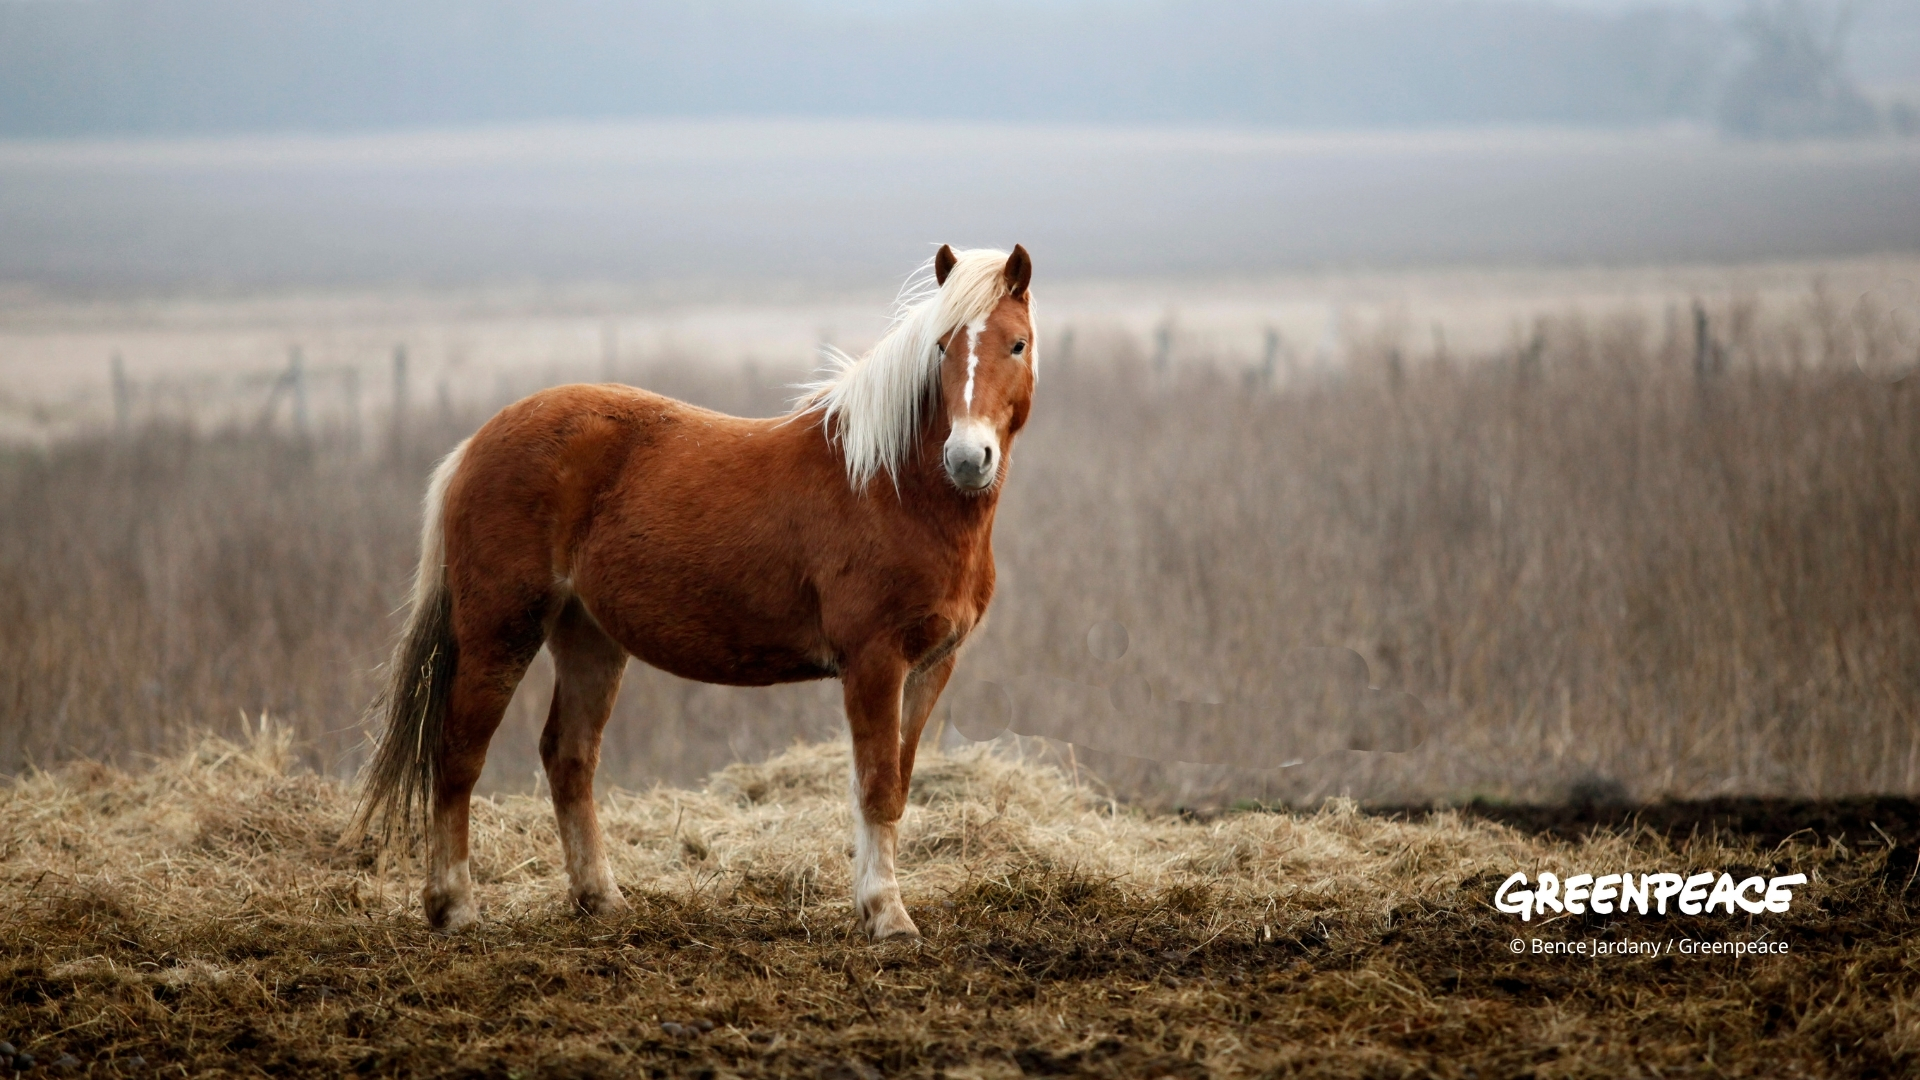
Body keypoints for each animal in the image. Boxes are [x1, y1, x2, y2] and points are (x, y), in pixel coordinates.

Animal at [350, 244, 1036, 940]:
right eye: (943, 347)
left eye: (1017, 344)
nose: (967, 458)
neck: (890, 486)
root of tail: (473, 447)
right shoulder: (873, 662)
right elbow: (874, 787)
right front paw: (887, 916)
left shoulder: (931, 665)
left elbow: (895, 786)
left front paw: (878, 908)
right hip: (501, 629)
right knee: (459, 752)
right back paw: (456, 907)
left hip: (588, 637)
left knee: (568, 757)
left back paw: (600, 898)